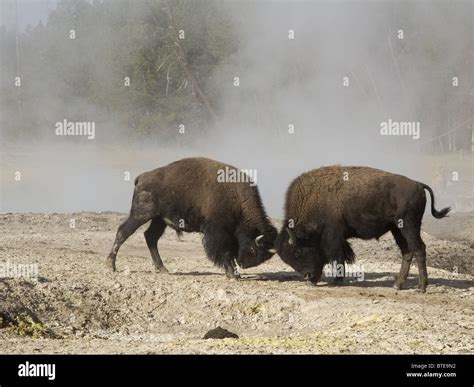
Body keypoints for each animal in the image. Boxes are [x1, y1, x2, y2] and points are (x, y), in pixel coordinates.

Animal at [106, 158, 278, 278]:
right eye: (253, 249)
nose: (244, 265)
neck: (238, 201)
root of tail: (142, 177)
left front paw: (235, 273)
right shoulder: (218, 232)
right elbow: (225, 252)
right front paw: (232, 274)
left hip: (159, 220)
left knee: (151, 237)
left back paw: (163, 268)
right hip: (141, 214)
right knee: (123, 232)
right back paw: (110, 265)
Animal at [276, 165, 450, 292]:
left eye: (298, 251)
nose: (308, 277)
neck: (315, 198)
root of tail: (418, 184)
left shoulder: (334, 237)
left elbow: (338, 257)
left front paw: (337, 280)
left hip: (409, 226)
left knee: (419, 249)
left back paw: (421, 287)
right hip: (397, 229)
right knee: (407, 252)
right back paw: (398, 285)